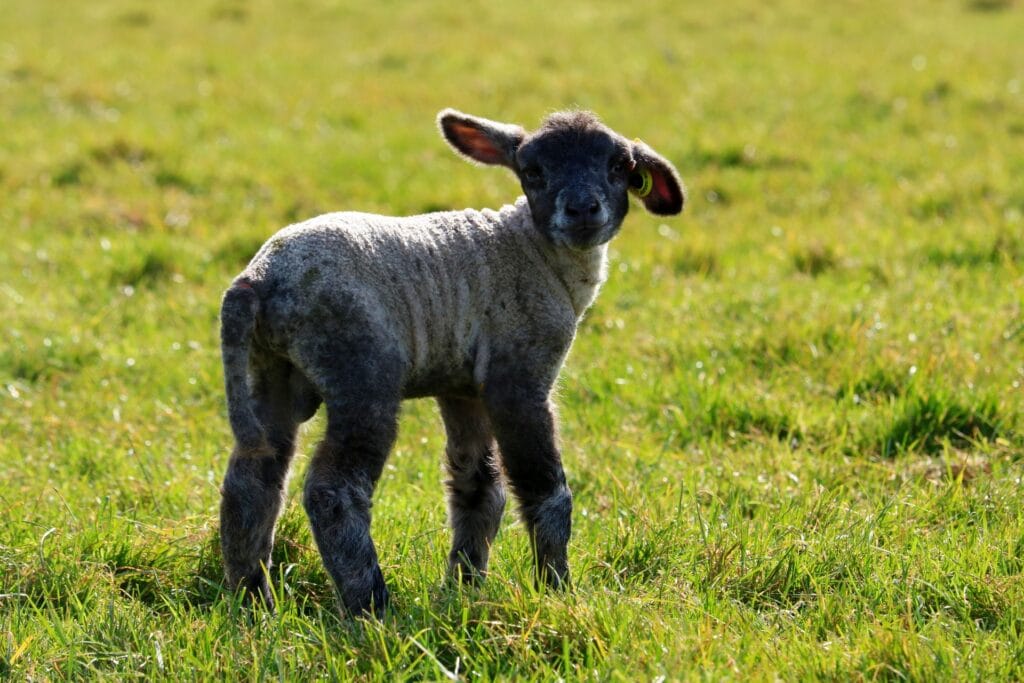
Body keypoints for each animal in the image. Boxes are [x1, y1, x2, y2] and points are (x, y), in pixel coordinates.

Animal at [218, 108, 685, 617]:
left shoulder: (463, 388)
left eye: (619, 166)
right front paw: (557, 590)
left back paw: (253, 601)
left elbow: (478, 490)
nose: (582, 210)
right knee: (332, 490)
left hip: (270, 374)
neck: (532, 251)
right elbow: (545, 491)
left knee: (251, 478)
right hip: (360, 371)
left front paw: (464, 585)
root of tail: (256, 280)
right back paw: (371, 605)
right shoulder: (518, 376)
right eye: (533, 171)